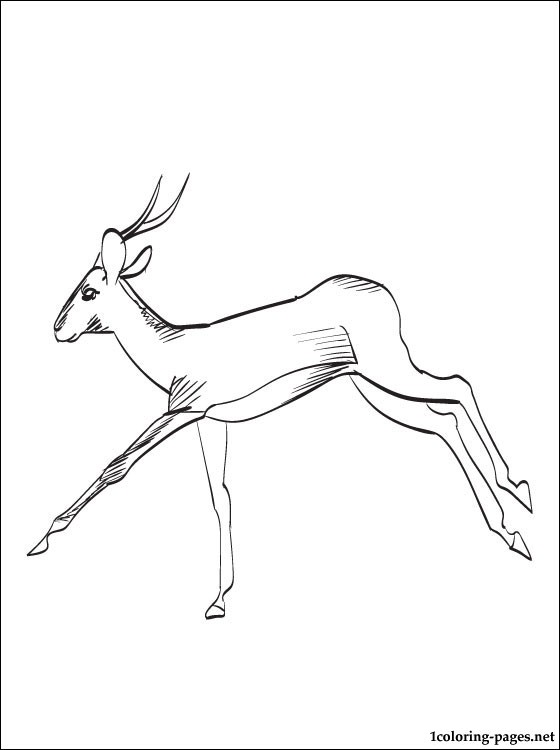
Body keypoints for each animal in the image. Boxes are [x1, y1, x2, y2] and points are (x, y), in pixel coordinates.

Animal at [29, 175, 533, 619]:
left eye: (89, 291)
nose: (57, 329)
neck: (174, 349)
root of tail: (380, 291)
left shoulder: (183, 411)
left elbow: (117, 466)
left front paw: (44, 537)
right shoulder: (211, 422)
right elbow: (220, 497)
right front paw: (220, 600)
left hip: (390, 370)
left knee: (458, 387)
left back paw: (515, 495)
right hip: (372, 386)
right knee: (441, 420)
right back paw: (512, 522)